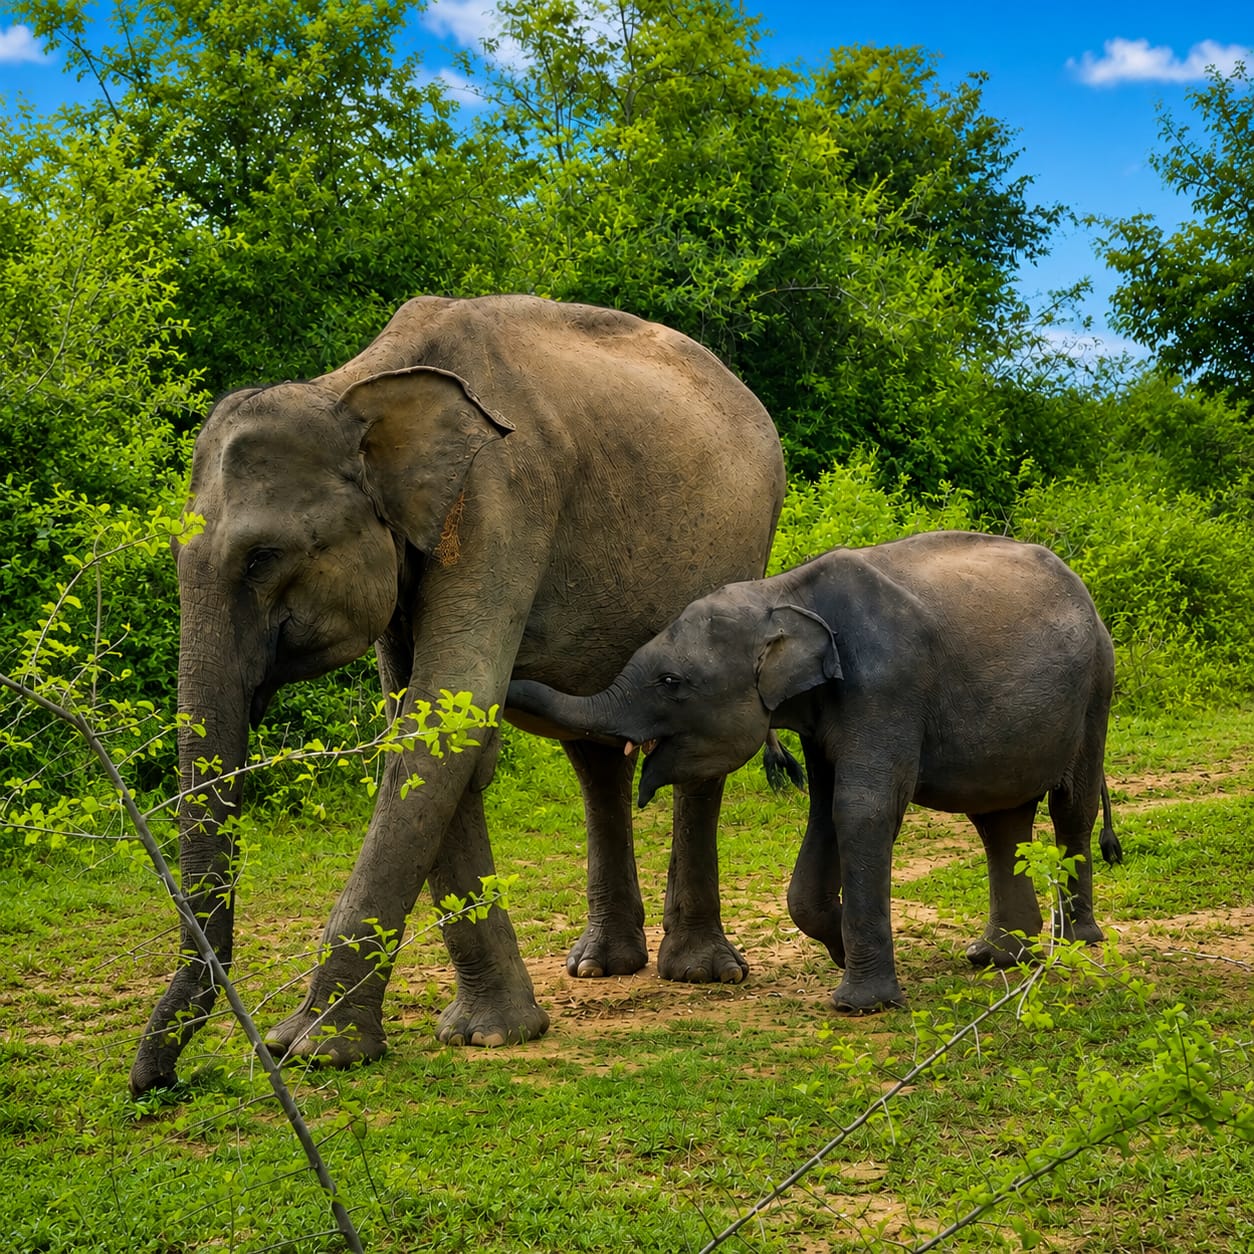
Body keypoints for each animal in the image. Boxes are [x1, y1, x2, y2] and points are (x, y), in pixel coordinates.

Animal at [128, 294, 786, 1097]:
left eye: (263, 557)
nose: (156, 1083)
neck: (354, 385)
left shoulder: (500, 499)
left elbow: (445, 720)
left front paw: (311, 1048)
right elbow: (433, 731)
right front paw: (489, 1035)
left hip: (743, 545)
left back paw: (701, 975)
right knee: (593, 751)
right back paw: (601, 966)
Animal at [506, 530, 1122, 1015]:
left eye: (670, 682)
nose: (507, 676)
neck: (783, 593)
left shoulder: (886, 687)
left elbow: (861, 809)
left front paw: (862, 1004)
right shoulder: (823, 714)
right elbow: (825, 811)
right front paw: (843, 950)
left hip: (1098, 684)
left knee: (1071, 808)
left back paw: (1075, 943)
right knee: (1000, 820)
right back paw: (998, 957)